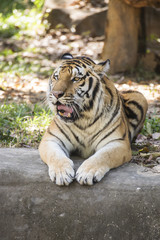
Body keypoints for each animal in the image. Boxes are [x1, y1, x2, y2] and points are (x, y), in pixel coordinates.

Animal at [38, 53, 148, 187]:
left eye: (76, 79)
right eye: (56, 77)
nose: (55, 94)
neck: (83, 118)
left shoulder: (118, 142)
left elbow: (103, 156)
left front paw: (87, 173)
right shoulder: (51, 139)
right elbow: (55, 156)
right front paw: (62, 173)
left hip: (140, 97)